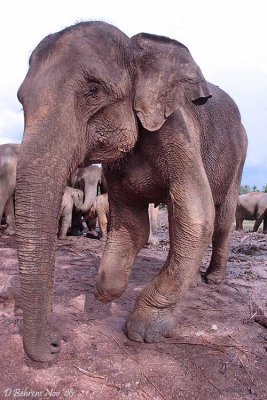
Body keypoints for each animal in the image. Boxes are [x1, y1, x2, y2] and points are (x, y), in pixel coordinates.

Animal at [15, 20, 248, 362]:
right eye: (20, 101)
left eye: (93, 90)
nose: (56, 345)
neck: (137, 47)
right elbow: (131, 223)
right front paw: (104, 293)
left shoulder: (178, 130)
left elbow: (197, 215)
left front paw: (143, 332)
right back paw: (193, 281)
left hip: (239, 155)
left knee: (220, 219)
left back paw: (213, 280)